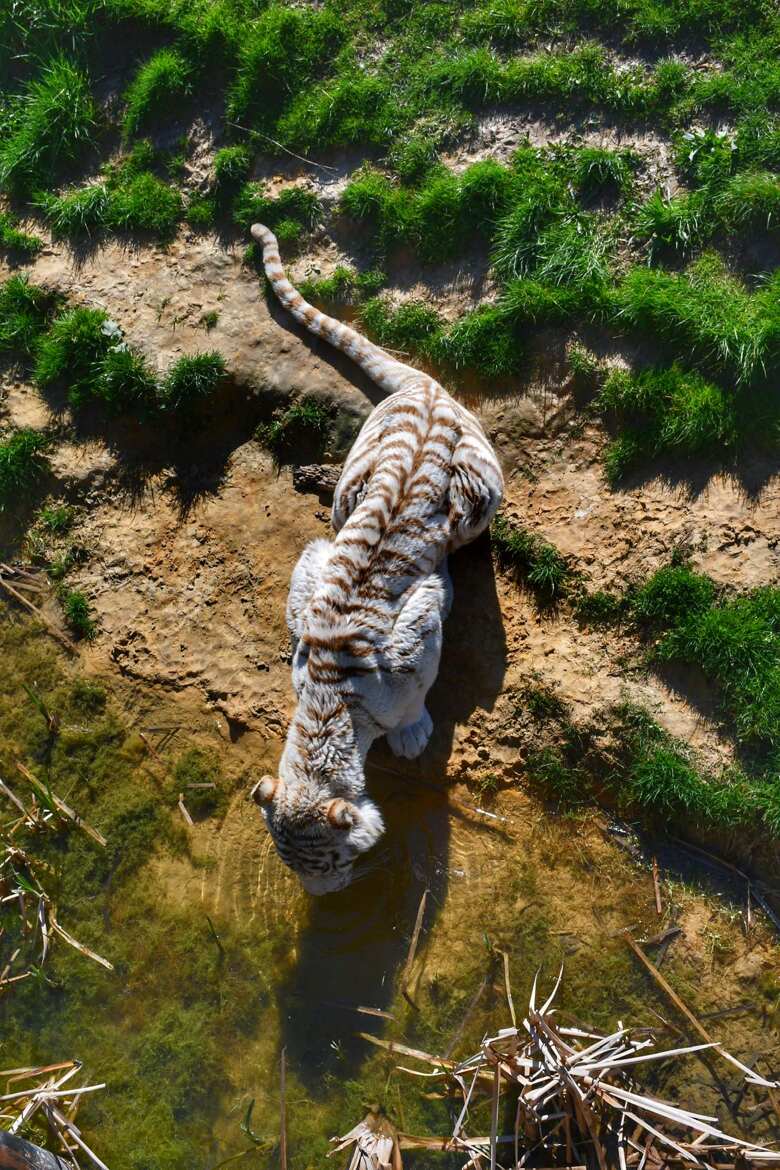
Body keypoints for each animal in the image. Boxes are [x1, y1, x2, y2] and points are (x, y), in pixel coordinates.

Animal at [250, 222, 503, 895]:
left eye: (333, 862)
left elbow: (416, 690)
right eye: (289, 862)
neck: (327, 705)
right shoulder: (313, 568)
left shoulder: (421, 629)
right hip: (347, 487)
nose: (325, 897)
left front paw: (412, 735)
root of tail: (426, 385)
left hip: (480, 485)